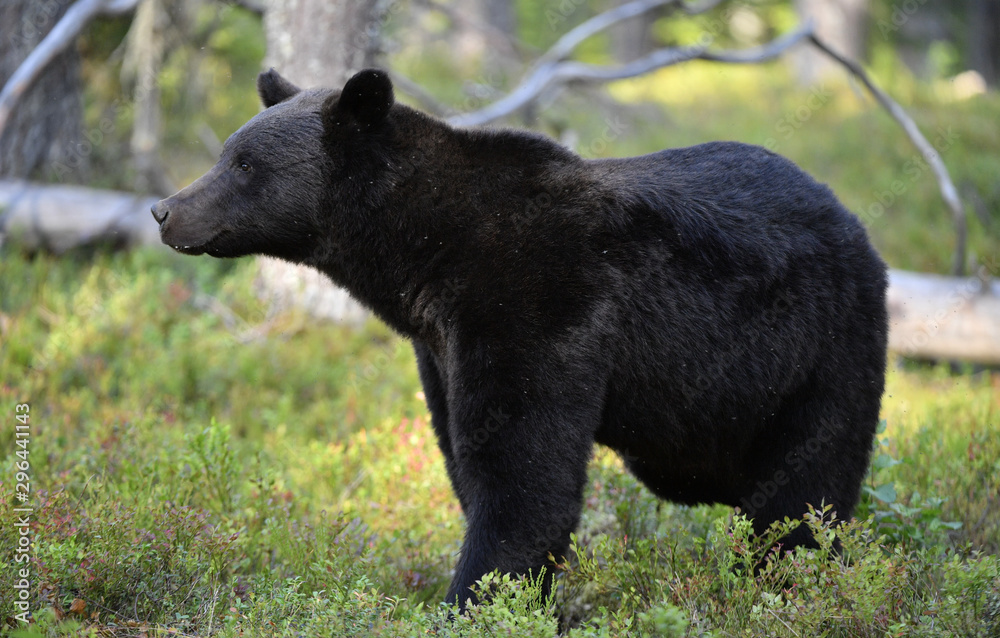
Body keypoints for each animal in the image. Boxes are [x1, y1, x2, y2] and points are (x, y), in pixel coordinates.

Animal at [151, 68, 889, 607]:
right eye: (229, 151)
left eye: (244, 164)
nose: (164, 209)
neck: (427, 253)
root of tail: (854, 223)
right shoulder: (439, 347)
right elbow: (467, 457)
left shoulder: (536, 300)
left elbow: (523, 477)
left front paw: (476, 600)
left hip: (818, 354)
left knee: (803, 492)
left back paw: (786, 584)